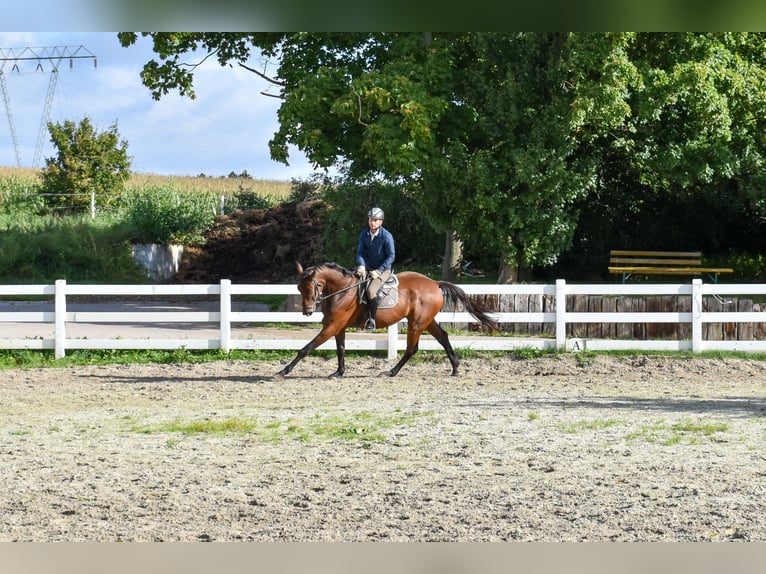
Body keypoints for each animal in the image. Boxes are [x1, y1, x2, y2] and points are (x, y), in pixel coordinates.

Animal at [275, 262, 498, 378]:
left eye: (312, 287)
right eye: (298, 288)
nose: (307, 311)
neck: (342, 291)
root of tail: (434, 283)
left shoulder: (331, 327)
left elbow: (306, 348)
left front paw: (284, 370)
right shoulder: (338, 327)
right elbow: (341, 349)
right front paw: (339, 372)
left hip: (417, 323)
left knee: (412, 348)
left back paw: (391, 371)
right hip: (426, 321)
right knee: (443, 337)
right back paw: (455, 368)